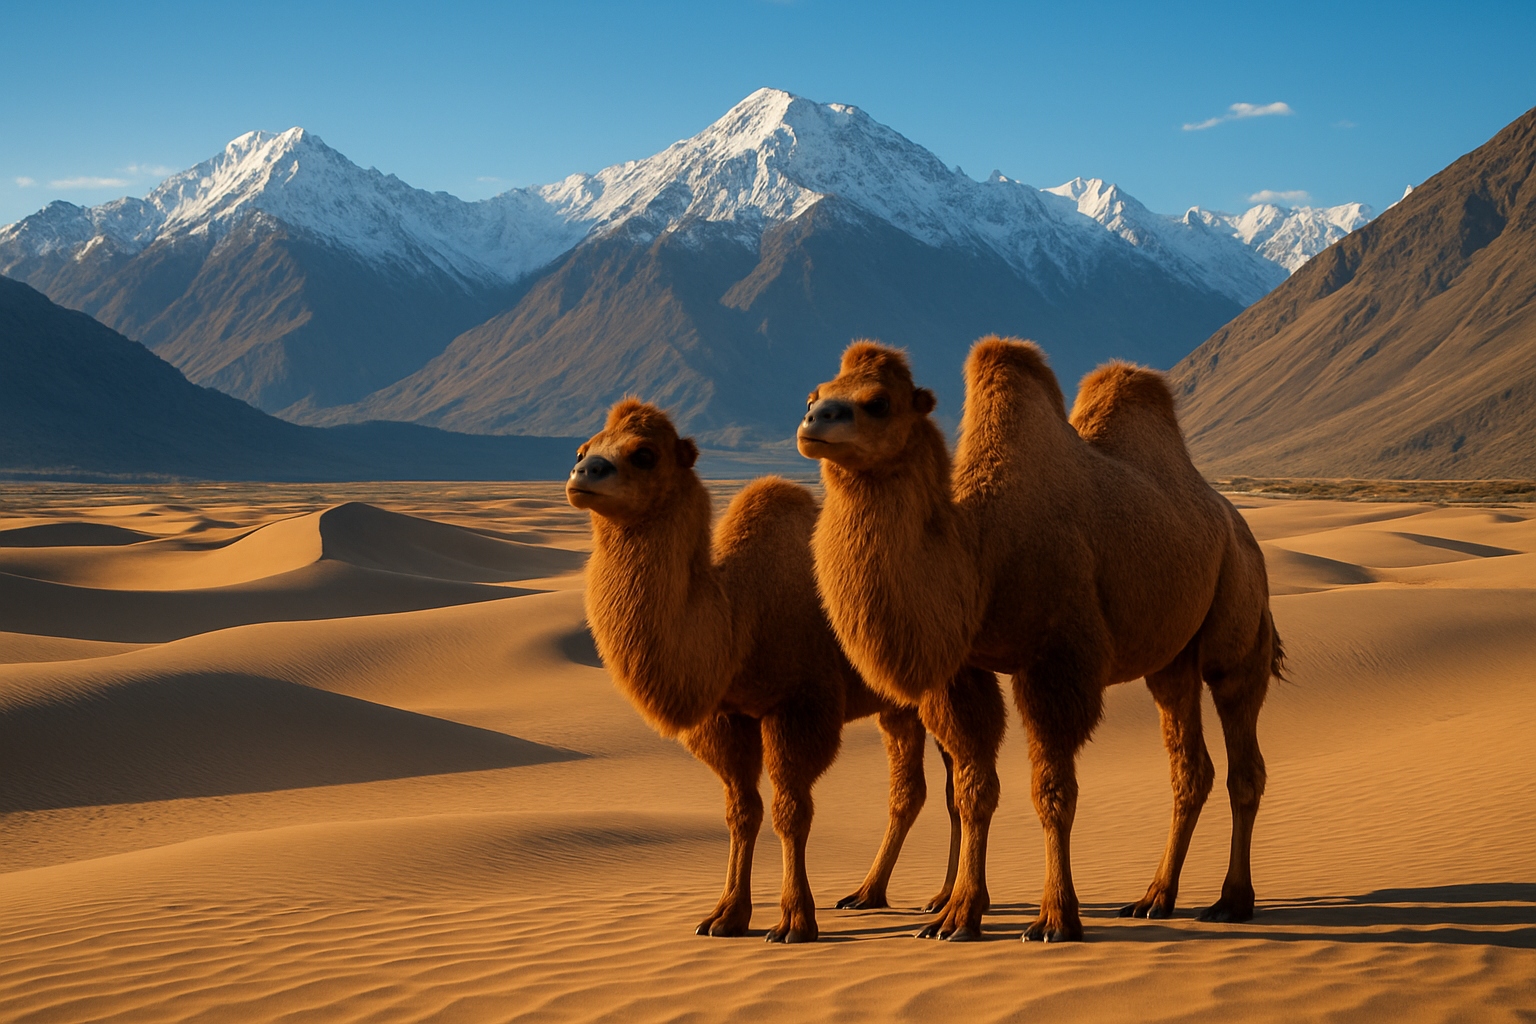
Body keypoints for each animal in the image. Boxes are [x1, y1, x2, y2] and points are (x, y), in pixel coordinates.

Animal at [567, 397, 970, 943]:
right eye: (583, 447)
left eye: (644, 454)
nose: (584, 472)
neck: (740, 616)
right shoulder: (726, 716)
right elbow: (742, 812)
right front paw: (725, 916)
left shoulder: (799, 705)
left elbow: (790, 811)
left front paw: (795, 921)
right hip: (897, 705)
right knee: (911, 790)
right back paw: (870, 894)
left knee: (955, 786)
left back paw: (945, 902)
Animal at [798, 337, 1283, 942]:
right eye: (814, 393)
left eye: (878, 402)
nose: (814, 421)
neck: (983, 553)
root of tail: (1240, 525)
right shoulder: (962, 670)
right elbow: (974, 791)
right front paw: (957, 916)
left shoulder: (1058, 658)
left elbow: (1052, 791)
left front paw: (1055, 918)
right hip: (1172, 659)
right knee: (1190, 766)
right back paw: (1154, 898)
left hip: (1237, 615)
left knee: (1243, 752)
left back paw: (1231, 901)